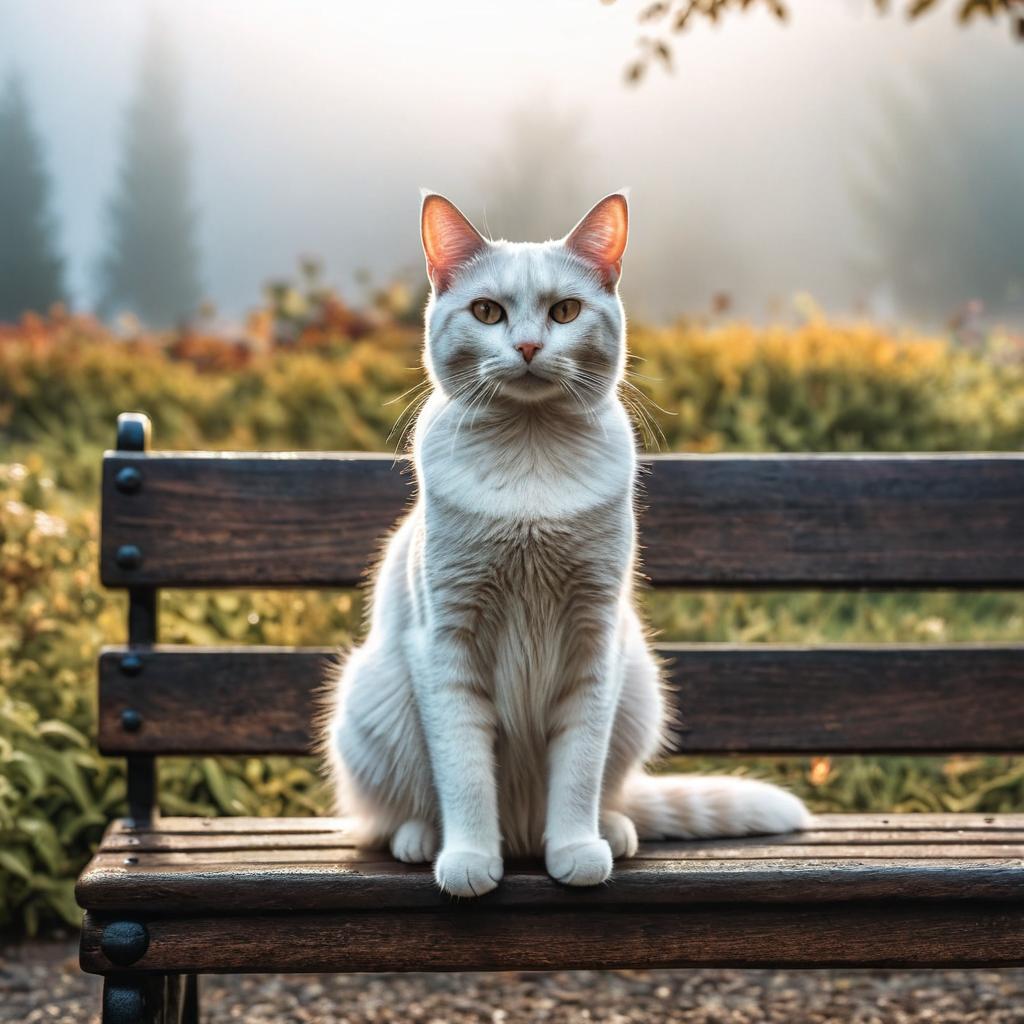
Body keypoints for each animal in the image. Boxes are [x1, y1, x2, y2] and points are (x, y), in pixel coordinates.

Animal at [323, 192, 811, 897]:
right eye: (488, 312)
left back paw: (608, 830)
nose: (528, 345)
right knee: (394, 812)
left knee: (605, 792)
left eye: (565, 312)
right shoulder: (447, 645)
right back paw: (422, 841)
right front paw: (470, 859)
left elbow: (579, 770)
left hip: (637, 688)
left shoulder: (594, 641)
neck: (532, 456)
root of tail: (523, 830)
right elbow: (464, 775)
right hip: (373, 697)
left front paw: (577, 849)